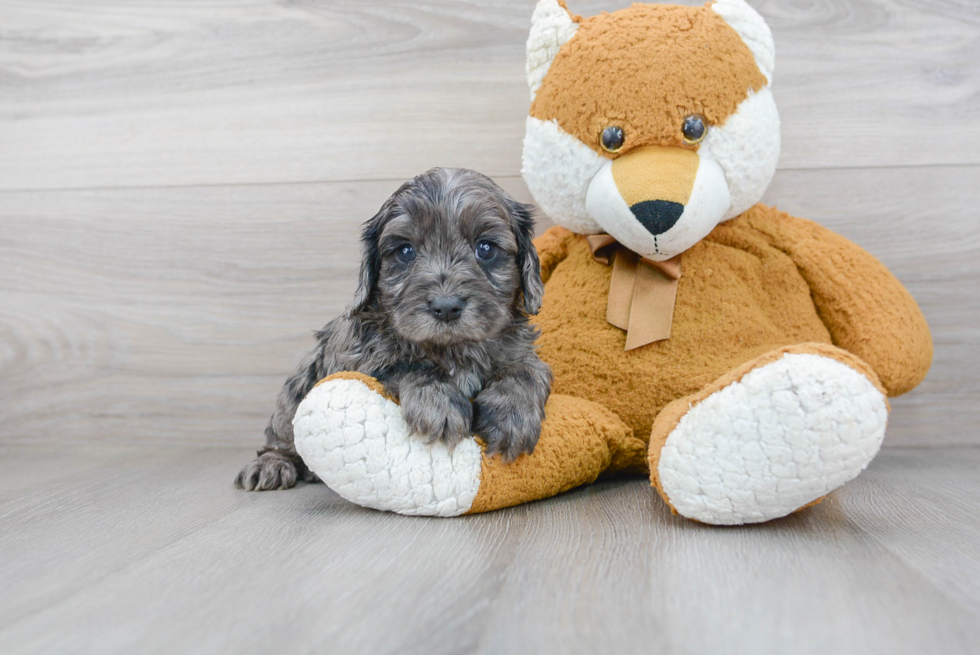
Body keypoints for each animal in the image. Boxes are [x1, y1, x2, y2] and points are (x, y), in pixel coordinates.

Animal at [235, 169, 552, 492]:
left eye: (485, 248)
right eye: (406, 251)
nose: (446, 306)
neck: (452, 348)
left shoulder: (522, 352)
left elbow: (525, 371)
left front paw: (511, 416)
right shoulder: (359, 359)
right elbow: (407, 366)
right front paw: (439, 403)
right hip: (296, 391)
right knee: (282, 436)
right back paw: (272, 465)